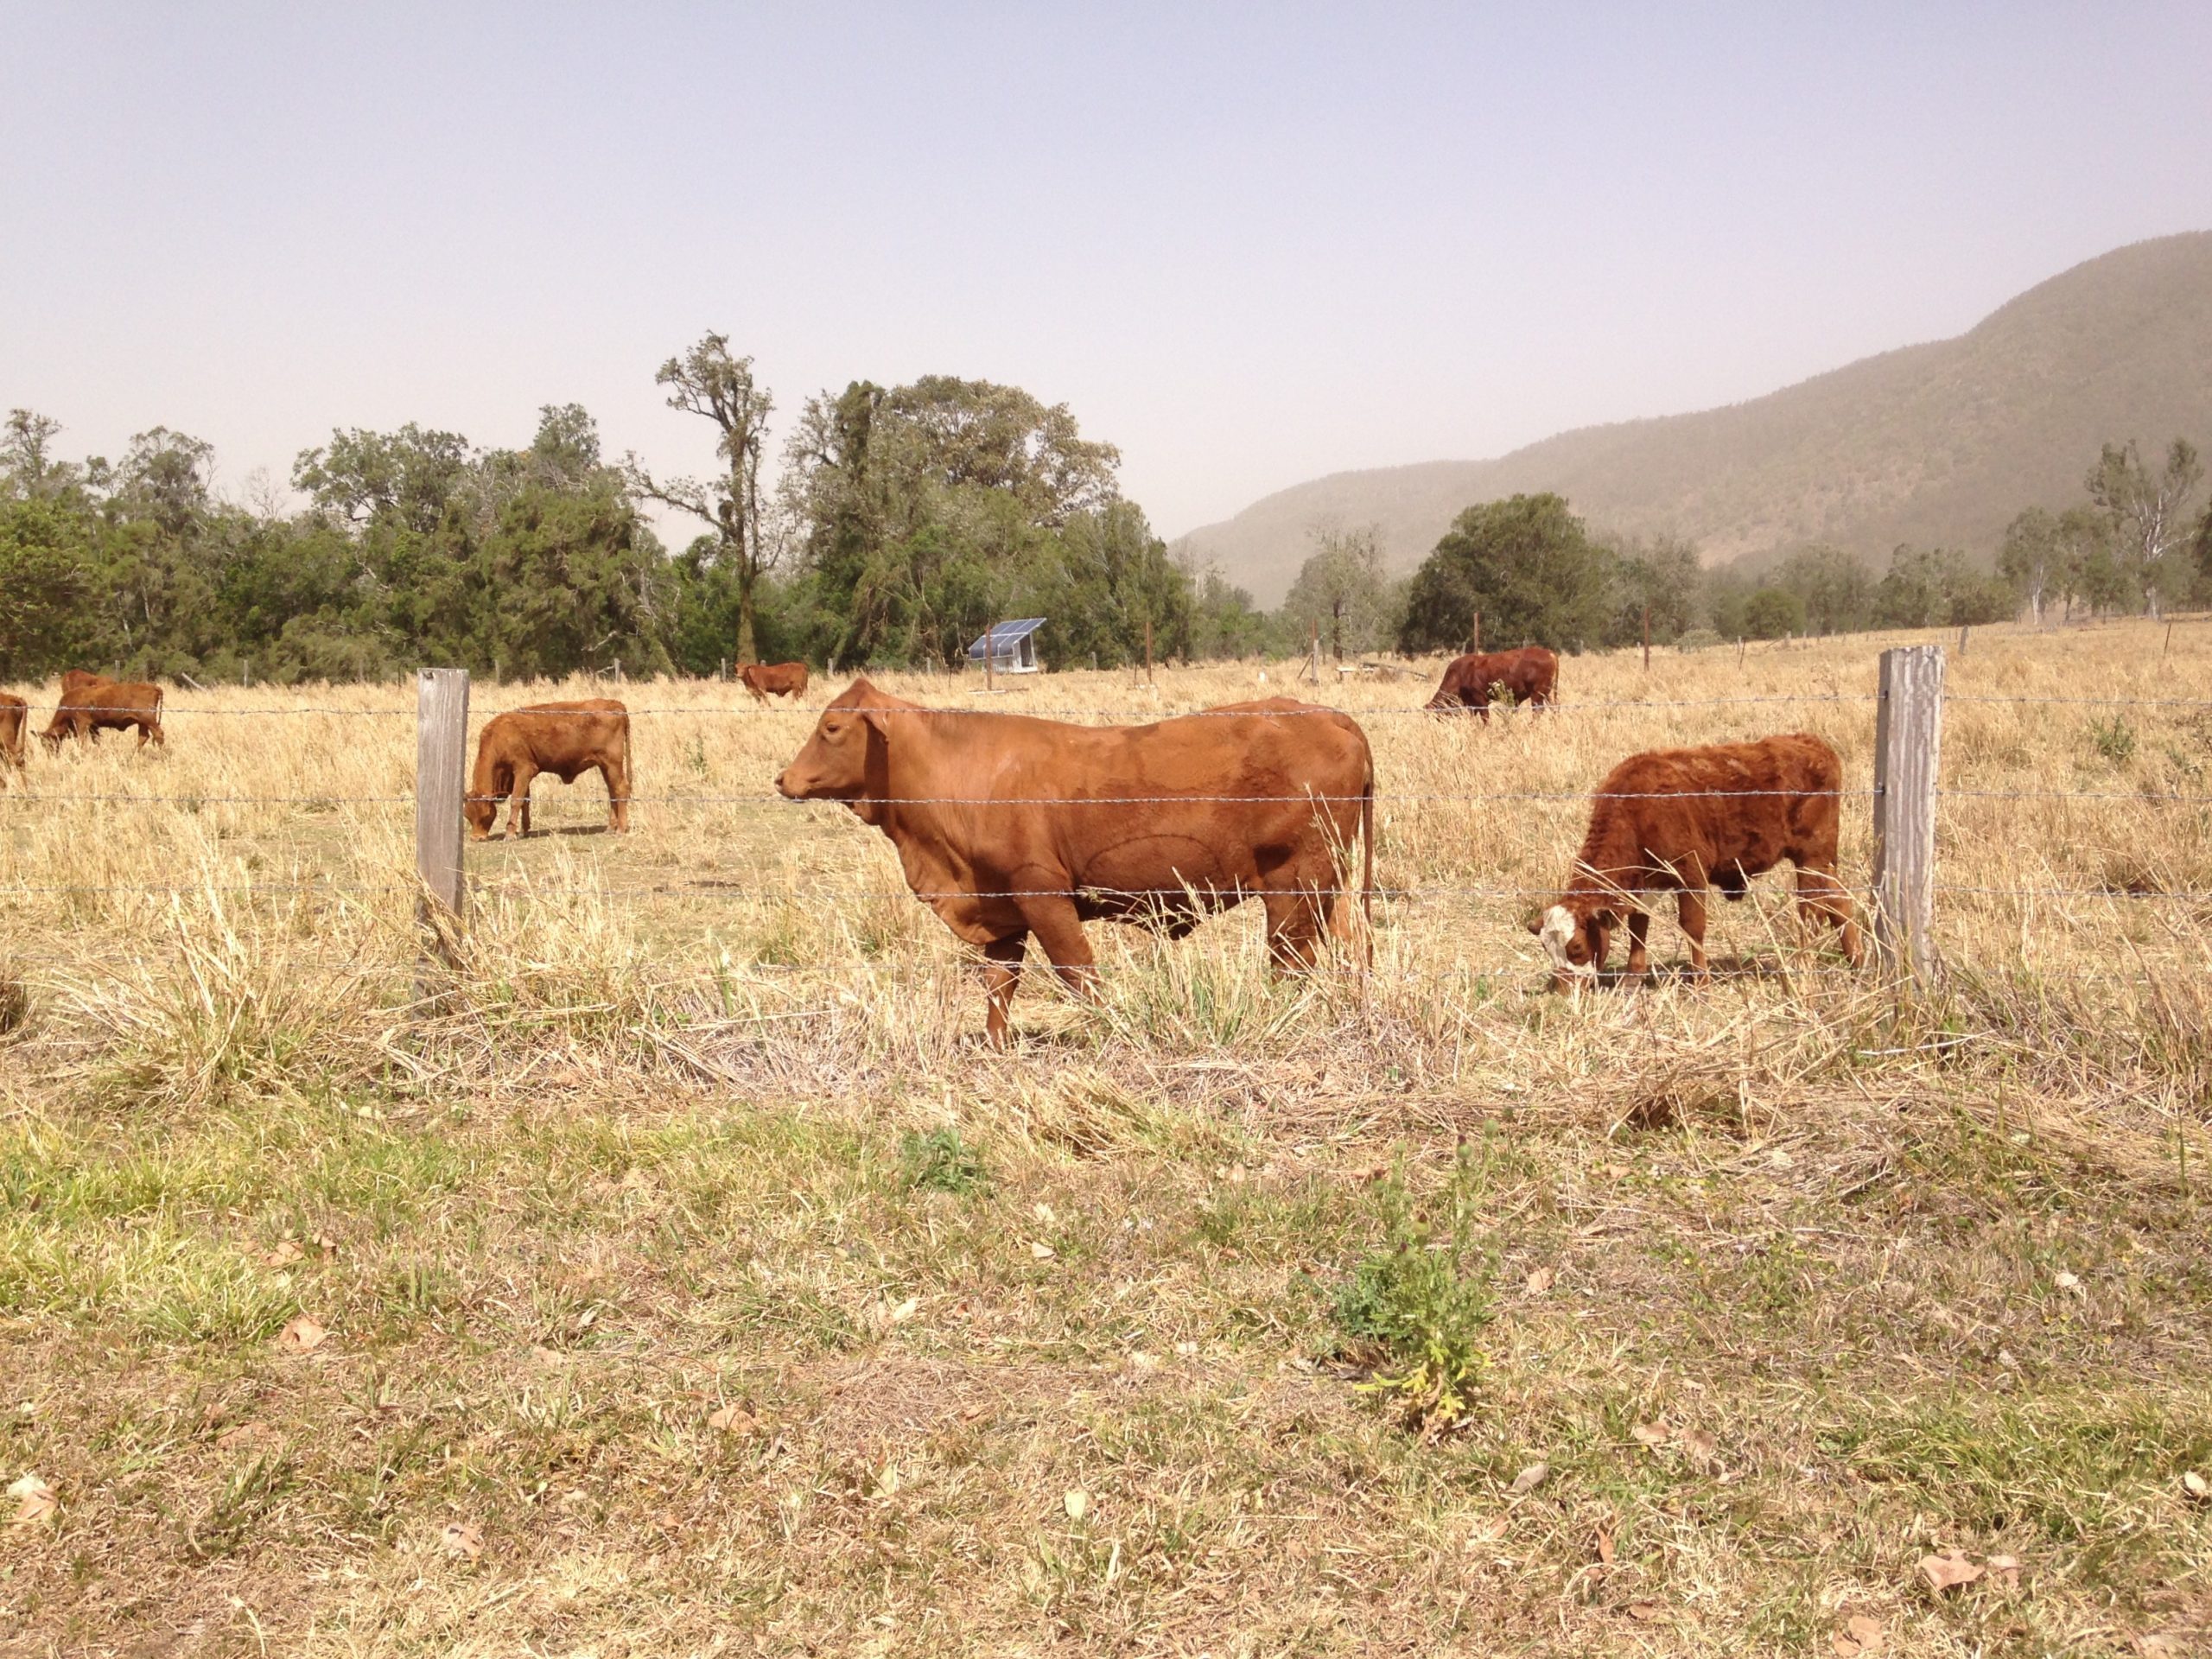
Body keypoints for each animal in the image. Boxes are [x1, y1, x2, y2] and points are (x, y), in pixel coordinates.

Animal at [41, 672, 166, 749]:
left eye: (47, 742)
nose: (51, 755)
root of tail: (154, 687)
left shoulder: (82, 724)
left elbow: (81, 741)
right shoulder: (93, 727)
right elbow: (96, 741)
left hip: (148, 720)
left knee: (159, 734)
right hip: (143, 723)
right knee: (143, 737)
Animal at [464, 699, 633, 839]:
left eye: (486, 814)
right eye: (467, 815)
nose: (476, 838)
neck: (499, 736)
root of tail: (615, 704)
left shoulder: (524, 770)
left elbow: (516, 801)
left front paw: (510, 834)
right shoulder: (522, 775)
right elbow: (525, 801)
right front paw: (524, 831)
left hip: (613, 764)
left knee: (621, 789)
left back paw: (620, 830)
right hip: (605, 766)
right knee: (612, 792)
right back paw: (610, 828)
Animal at [775, 679, 1375, 1044]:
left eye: (831, 728)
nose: (783, 778)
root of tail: (1331, 717)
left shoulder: (1042, 895)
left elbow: (1077, 972)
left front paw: (1110, 1031)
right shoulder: (1002, 909)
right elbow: (999, 984)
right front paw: (995, 1048)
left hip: (1295, 884)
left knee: (1291, 960)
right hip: (1326, 886)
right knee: (1342, 946)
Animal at [1425, 647, 1557, 720]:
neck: (1460, 674)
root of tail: (1550, 653)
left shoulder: (1481, 699)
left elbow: (1485, 718)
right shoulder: (1472, 704)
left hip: (1537, 694)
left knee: (1538, 711)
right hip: (1547, 694)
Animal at [1530, 732, 1861, 987]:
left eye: (1576, 947)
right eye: (1547, 948)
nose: (1564, 990)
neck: (1637, 811)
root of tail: (1811, 742)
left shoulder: (1691, 876)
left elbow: (1692, 928)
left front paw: (1701, 982)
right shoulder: (1643, 885)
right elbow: (1639, 929)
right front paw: (1632, 981)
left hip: (1811, 858)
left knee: (1811, 911)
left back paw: (1803, 966)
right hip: (1823, 863)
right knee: (1839, 902)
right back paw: (1857, 962)